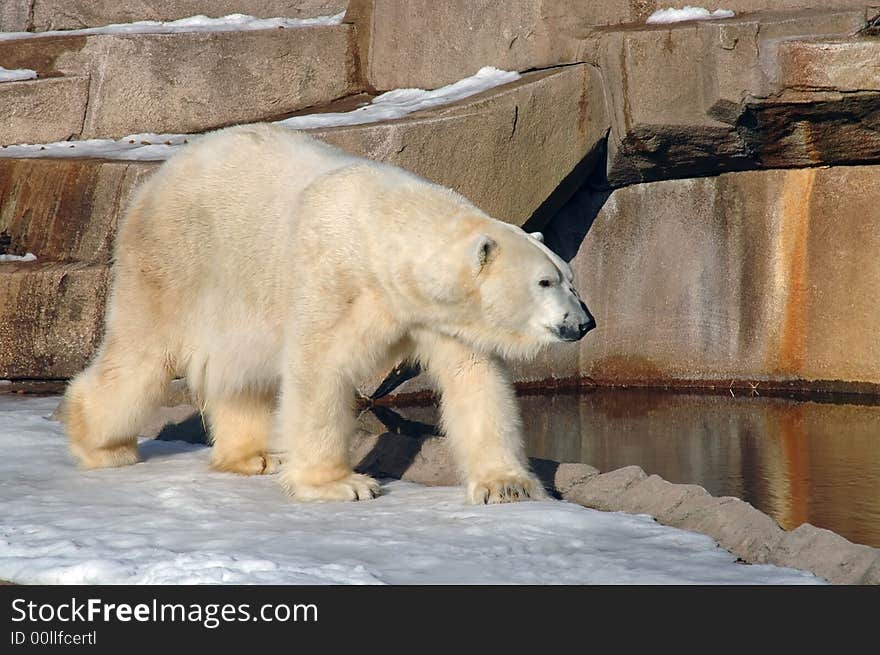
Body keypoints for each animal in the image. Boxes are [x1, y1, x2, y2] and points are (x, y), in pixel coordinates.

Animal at [65, 127, 596, 508]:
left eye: (569, 276)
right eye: (545, 282)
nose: (584, 323)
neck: (387, 234)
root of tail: (153, 182)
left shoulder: (437, 316)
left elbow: (475, 378)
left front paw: (507, 485)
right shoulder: (334, 281)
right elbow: (319, 369)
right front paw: (342, 485)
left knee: (240, 371)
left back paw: (256, 455)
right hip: (176, 263)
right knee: (142, 354)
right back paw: (100, 444)